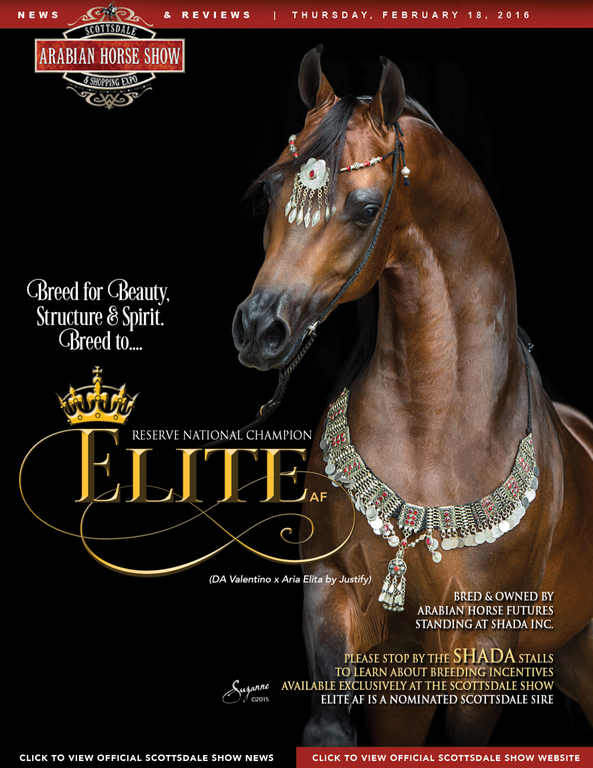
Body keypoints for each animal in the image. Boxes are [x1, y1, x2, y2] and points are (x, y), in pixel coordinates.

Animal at [232, 45, 593, 747]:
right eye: (267, 190)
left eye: (368, 208)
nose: (260, 328)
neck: (433, 428)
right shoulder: (339, 604)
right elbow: (329, 730)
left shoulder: (483, 653)